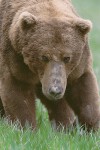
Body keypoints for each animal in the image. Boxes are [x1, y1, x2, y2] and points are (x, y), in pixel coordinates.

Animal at [0, 0, 99, 131]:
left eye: (67, 57)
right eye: (44, 57)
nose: (55, 90)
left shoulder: (79, 63)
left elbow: (83, 88)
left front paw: (89, 128)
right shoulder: (14, 55)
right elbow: (19, 94)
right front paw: (27, 128)